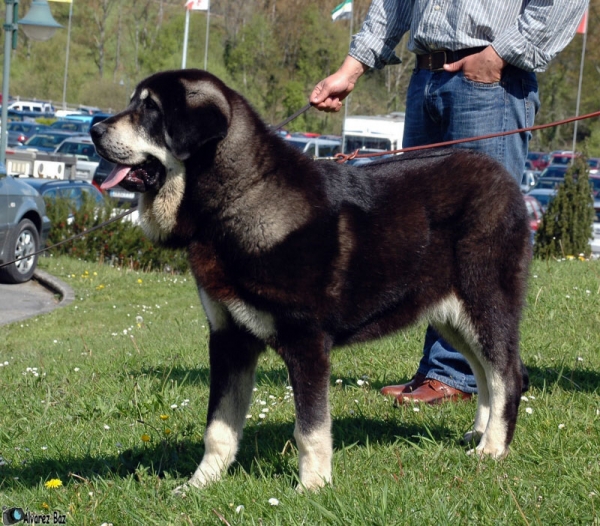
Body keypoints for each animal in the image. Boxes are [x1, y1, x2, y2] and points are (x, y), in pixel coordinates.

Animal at [91, 69, 532, 496]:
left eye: (150, 109)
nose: (95, 129)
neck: (235, 201)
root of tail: (507, 180)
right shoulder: (229, 338)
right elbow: (218, 428)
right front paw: (201, 484)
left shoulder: (306, 342)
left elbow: (310, 428)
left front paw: (313, 486)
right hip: (451, 314)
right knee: (484, 373)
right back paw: (479, 433)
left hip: (484, 302)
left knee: (507, 375)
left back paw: (493, 448)